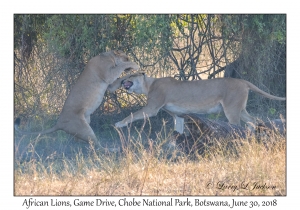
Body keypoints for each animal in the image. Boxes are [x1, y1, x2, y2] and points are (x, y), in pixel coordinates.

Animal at [108, 72, 286, 135]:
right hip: (239, 108)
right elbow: (178, 128)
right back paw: (254, 135)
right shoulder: (178, 114)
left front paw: (119, 124)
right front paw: (174, 144)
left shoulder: (152, 107)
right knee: (253, 120)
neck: (149, 84)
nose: (122, 80)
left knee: (238, 125)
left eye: (131, 75)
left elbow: (133, 114)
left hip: (232, 109)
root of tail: (243, 81)